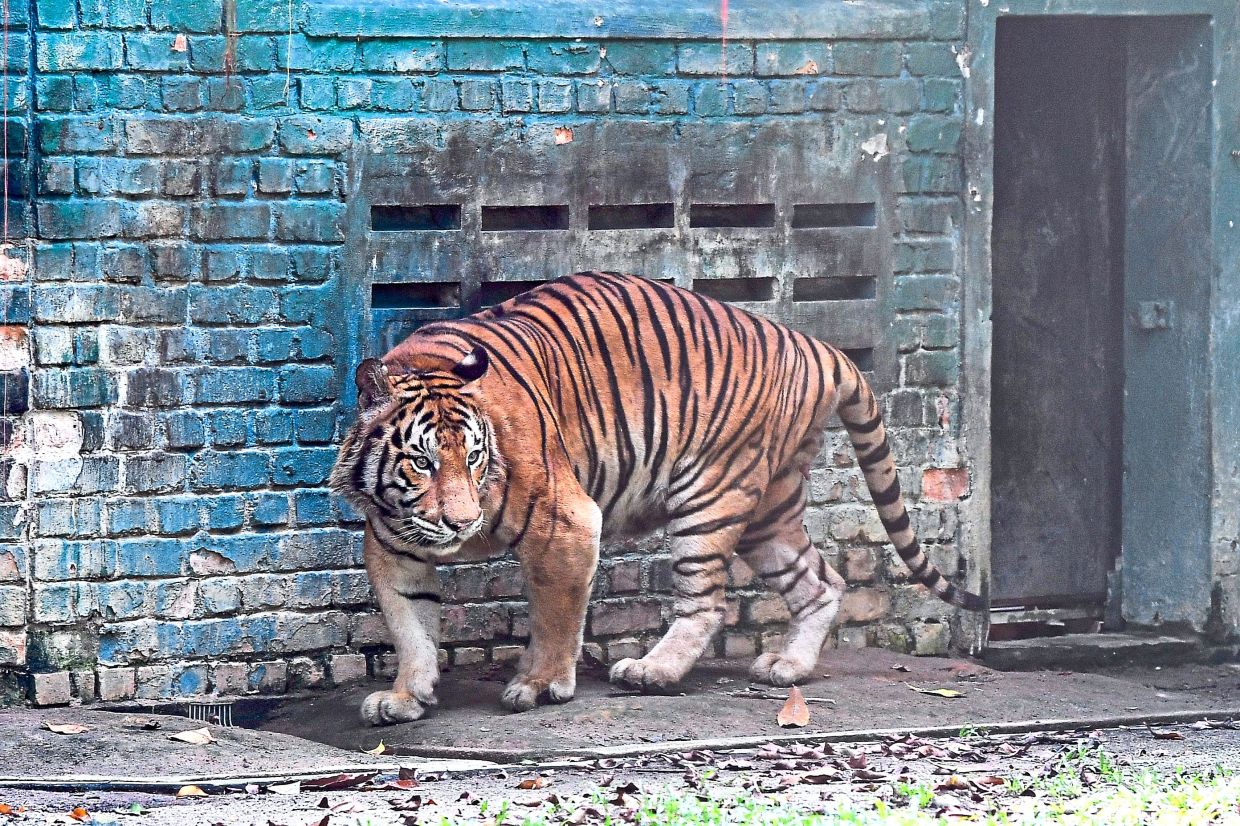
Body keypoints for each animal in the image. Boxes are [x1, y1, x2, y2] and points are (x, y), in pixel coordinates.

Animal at [331, 271, 984, 725]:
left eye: (471, 458)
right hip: (768, 510)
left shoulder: (568, 522)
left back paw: (652, 671)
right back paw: (786, 667)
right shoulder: (392, 548)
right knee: (821, 581)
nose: (463, 523)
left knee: (708, 603)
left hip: (710, 495)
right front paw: (405, 696)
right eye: (423, 462)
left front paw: (541, 685)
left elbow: (555, 615)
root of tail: (811, 342)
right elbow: (410, 626)